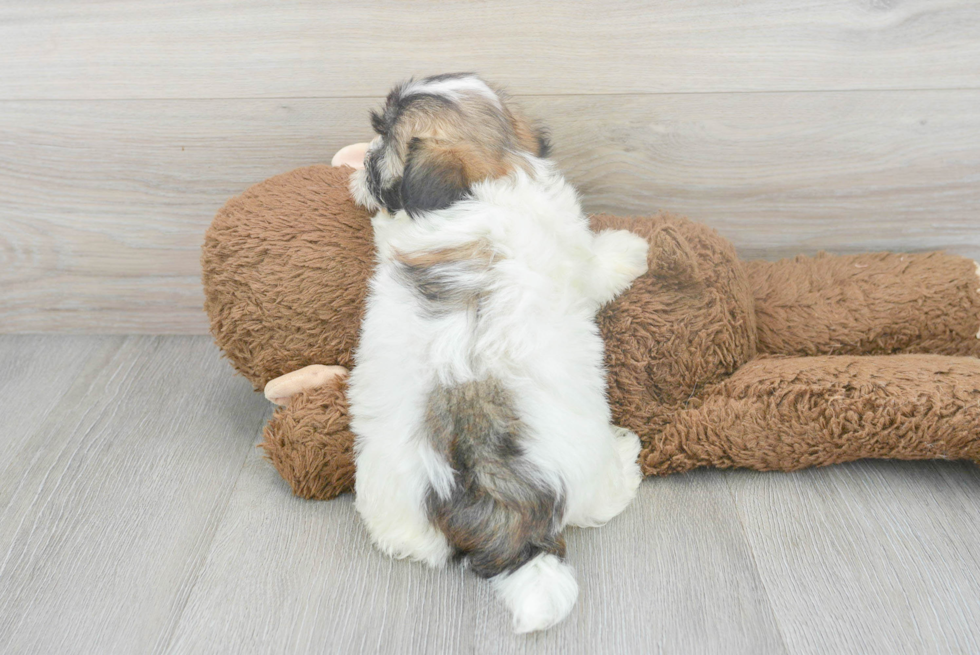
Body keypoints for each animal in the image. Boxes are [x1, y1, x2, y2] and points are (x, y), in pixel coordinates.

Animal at [348, 73, 648, 636]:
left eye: (381, 144)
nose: (361, 164)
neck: (491, 171)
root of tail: (500, 500)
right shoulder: (572, 249)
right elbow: (598, 266)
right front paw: (629, 250)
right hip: (585, 469)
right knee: (601, 500)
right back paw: (627, 457)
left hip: (392, 488)